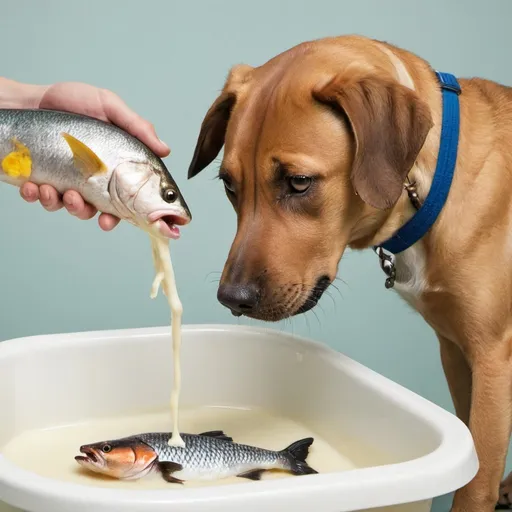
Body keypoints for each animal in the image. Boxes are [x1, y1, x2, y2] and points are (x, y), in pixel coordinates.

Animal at [186, 34, 512, 510]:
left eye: (299, 182)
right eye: (230, 185)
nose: (232, 298)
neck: (435, 184)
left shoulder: (491, 357)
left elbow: (476, 482)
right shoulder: (456, 350)